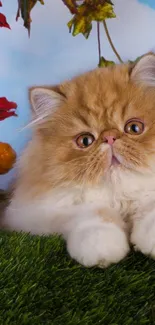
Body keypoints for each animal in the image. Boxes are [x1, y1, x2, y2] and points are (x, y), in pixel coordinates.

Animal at [3, 52, 155, 266]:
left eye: (134, 128)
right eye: (85, 140)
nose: (109, 137)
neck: (119, 198)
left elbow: (149, 204)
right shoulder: (33, 213)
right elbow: (93, 213)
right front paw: (101, 247)